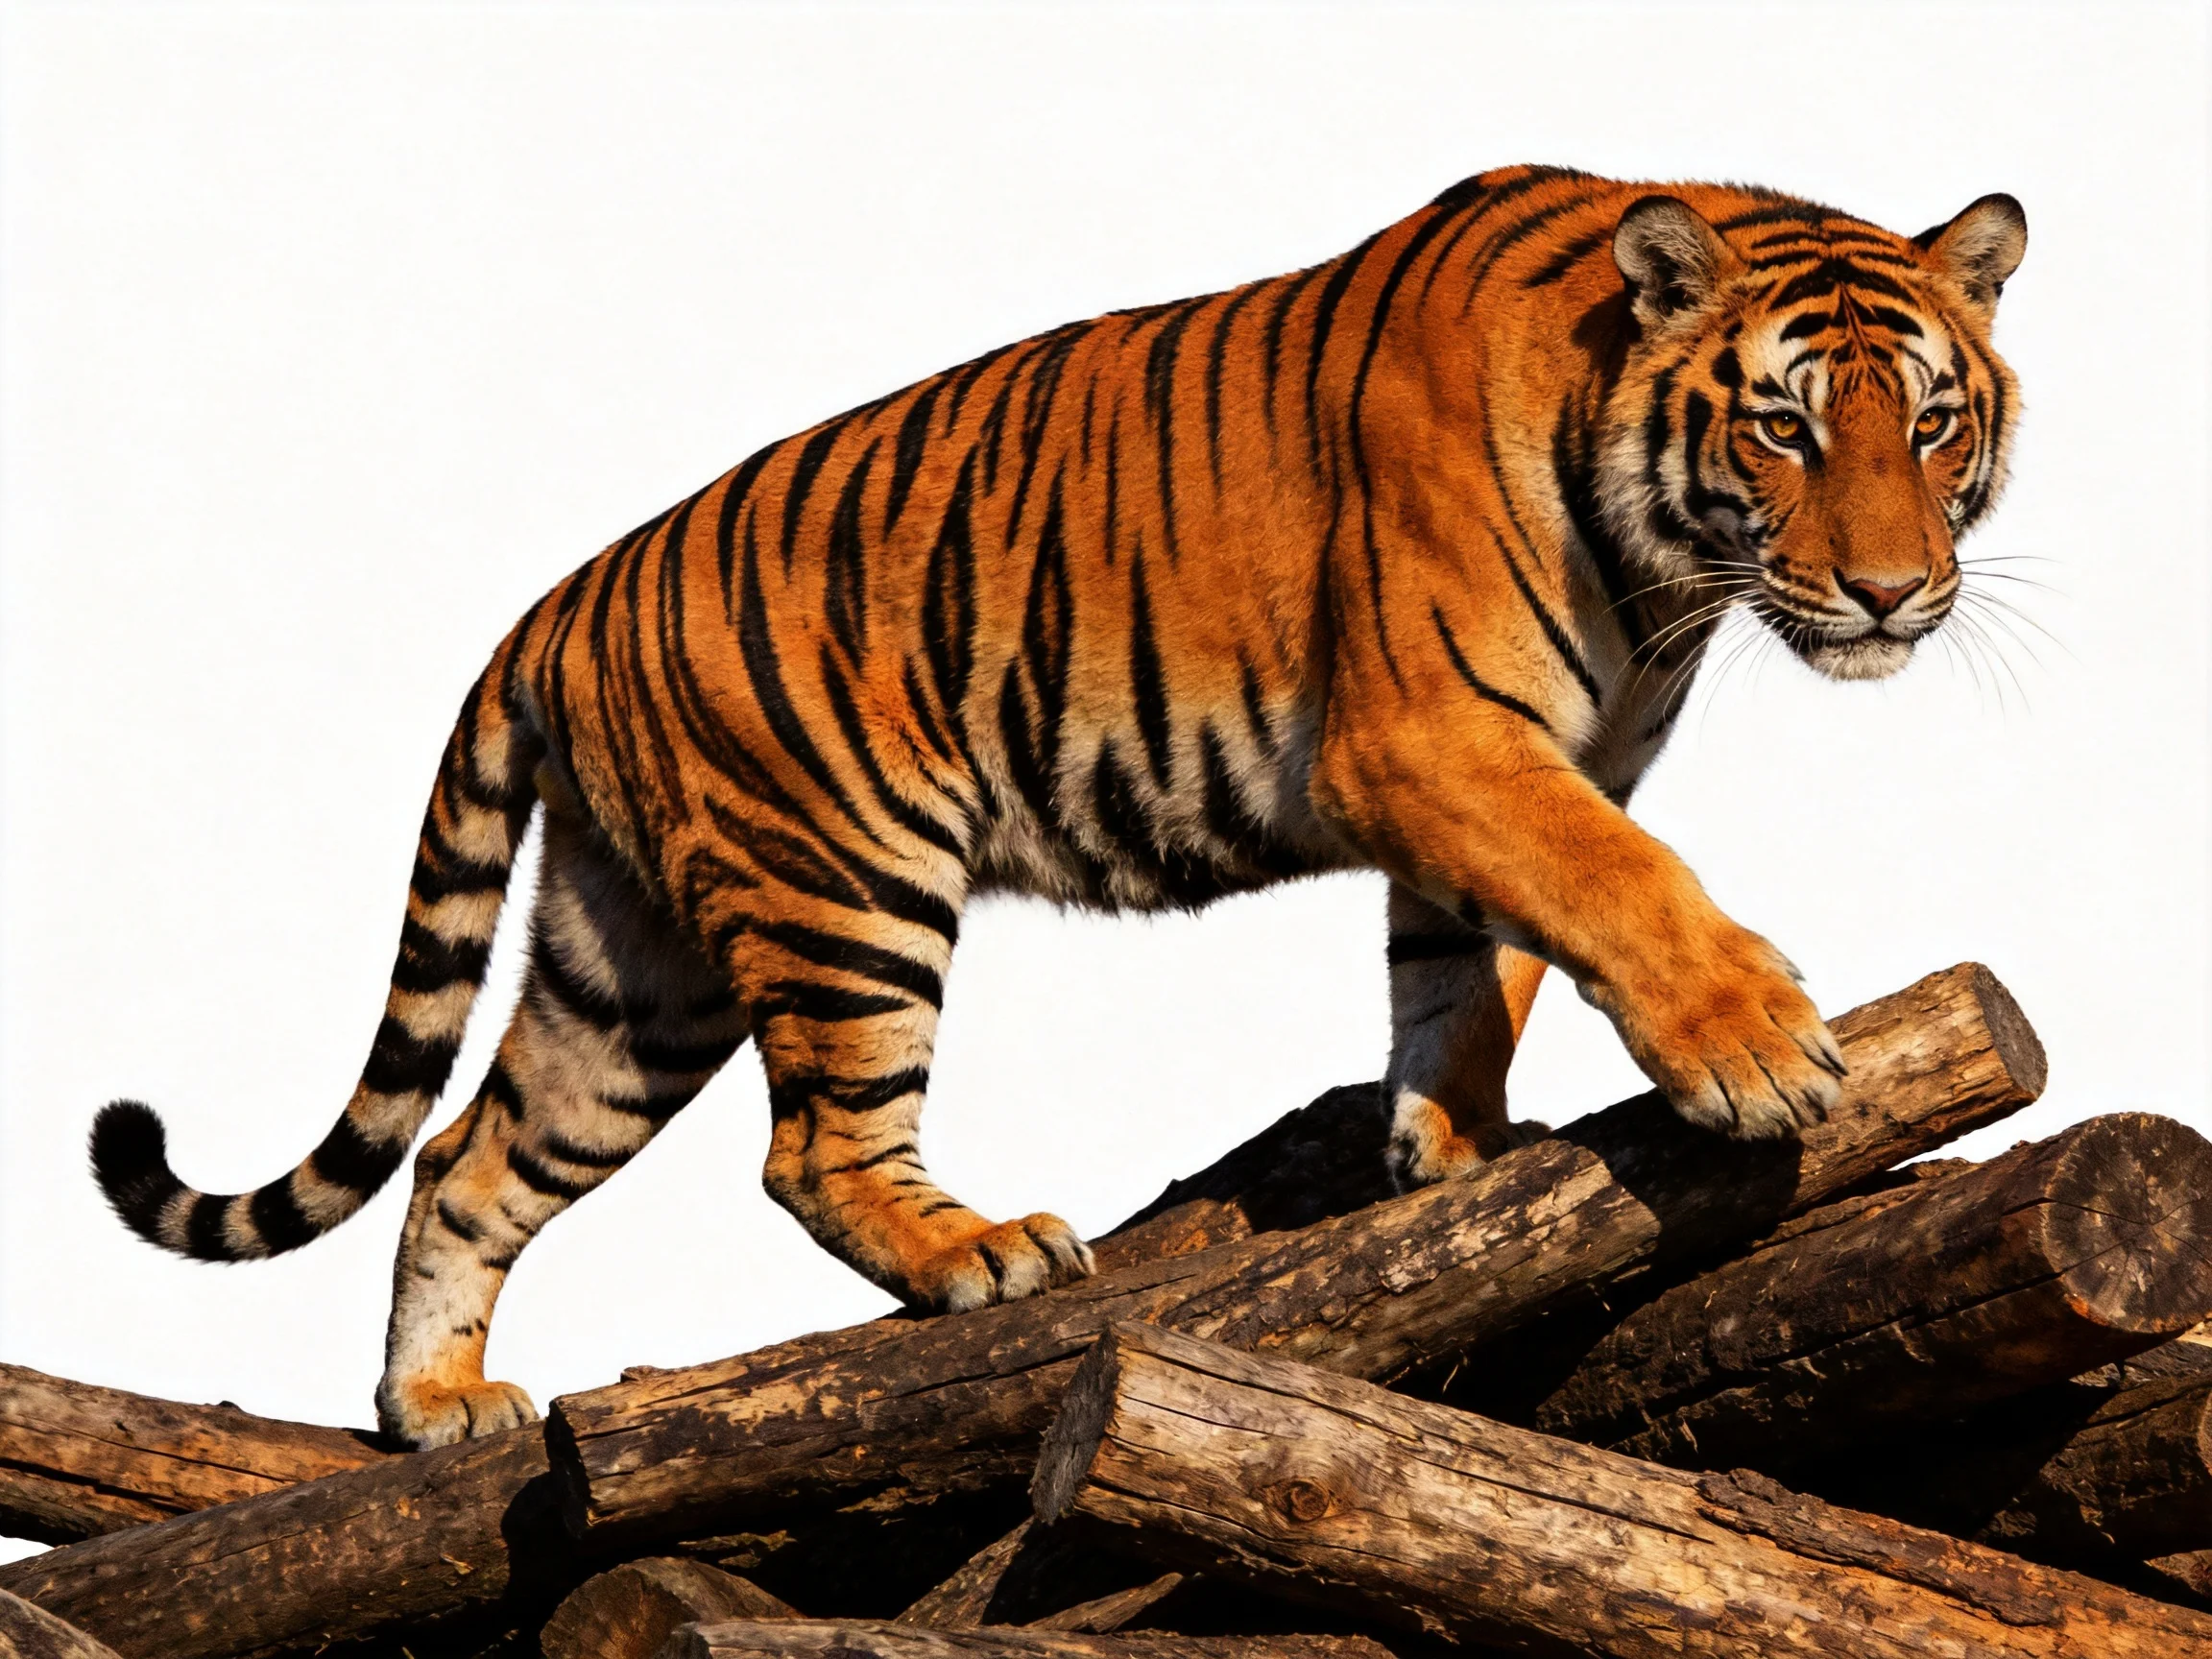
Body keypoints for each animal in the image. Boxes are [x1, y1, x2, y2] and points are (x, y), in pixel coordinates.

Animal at [89, 166, 2026, 1449]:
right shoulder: (1432, 742)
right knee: (812, 1149)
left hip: (627, 973)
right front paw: (1754, 1051)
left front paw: (1450, 1164)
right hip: (846, 882)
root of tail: (563, 599)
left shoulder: (1529, 766)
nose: (1890, 593)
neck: (1663, 560)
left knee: (463, 1158)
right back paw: (987, 1254)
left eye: (1932, 425)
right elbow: (1621, 889)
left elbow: (1470, 977)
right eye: (1784, 429)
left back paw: (437, 1406)